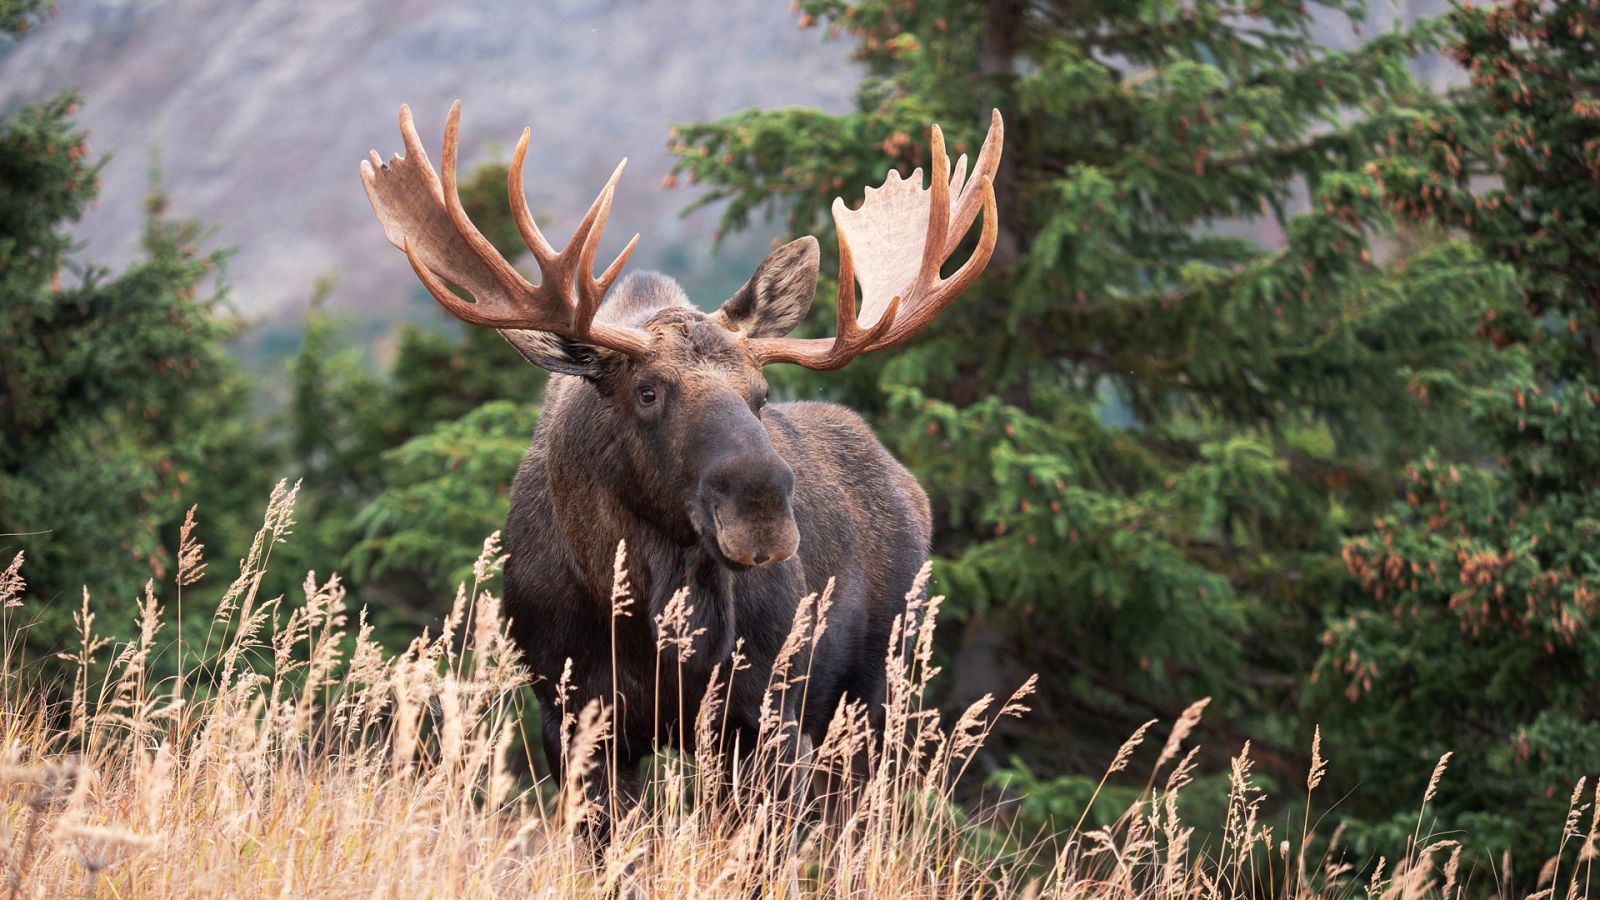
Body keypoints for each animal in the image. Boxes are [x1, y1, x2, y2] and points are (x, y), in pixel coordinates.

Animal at [363, 101, 998, 839]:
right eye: (647, 391)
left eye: (761, 394)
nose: (761, 511)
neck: (645, 614)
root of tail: (911, 487)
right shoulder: (569, 715)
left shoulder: (761, 708)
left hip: (880, 685)